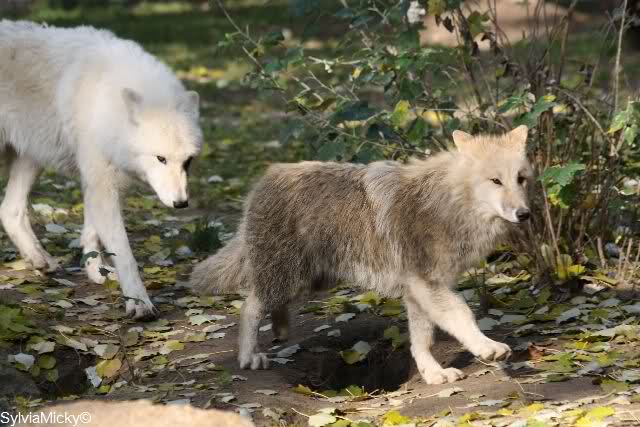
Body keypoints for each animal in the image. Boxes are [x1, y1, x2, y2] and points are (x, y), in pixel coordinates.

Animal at [0, 20, 202, 319]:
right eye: (160, 159)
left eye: (187, 161)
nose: (181, 203)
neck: (108, 103)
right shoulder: (100, 182)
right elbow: (124, 253)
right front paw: (138, 302)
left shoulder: (102, 181)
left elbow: (92, 232)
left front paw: (97, 270)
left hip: (32, 157)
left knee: (9, 210)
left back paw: (39, 260)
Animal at [189, 126, 532, 385]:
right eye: (495, 181)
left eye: (521, 179)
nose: (525, 214)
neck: (446, 204)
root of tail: (265, 178)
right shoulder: (427, 286)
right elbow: (462, 315)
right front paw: (487, 348)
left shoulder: (418, 291)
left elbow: (422, 340)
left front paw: (433, 374)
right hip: (288, 278)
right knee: (250, 306)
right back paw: (250, 356)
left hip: (309, 281)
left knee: (270, 306)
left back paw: (280, 330)